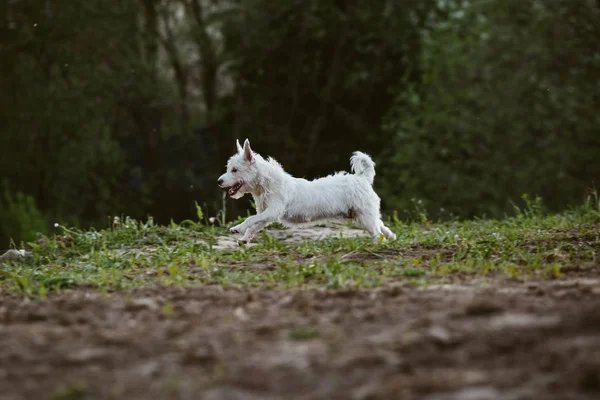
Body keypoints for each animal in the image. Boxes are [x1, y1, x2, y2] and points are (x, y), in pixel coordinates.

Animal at [218, 138, 396, 244]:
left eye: (234, 170)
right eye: (228, 168)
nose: (219, 181)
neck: (266, 184)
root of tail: (363, 178)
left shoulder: (273, 210)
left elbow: (250, 219)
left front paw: (238, 228)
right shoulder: (266, 214)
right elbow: (254, 224)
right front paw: (245, 238)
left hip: (366, 216)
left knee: (377, 231)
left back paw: (379, 243)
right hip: (364, 215)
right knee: (381, 226)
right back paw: (391, 237)